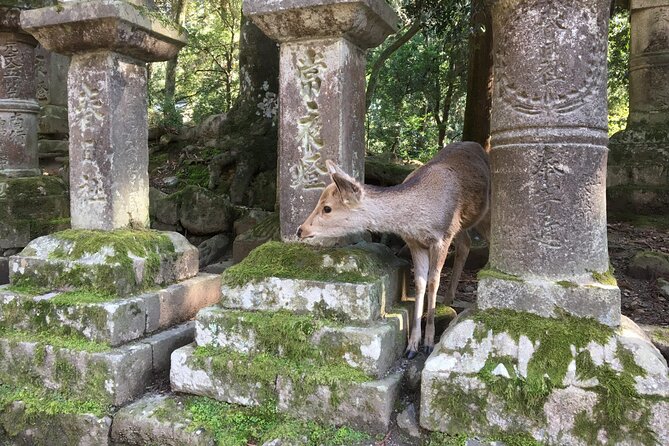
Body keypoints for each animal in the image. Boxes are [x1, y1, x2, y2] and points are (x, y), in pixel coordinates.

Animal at [298, 143, 490, 358]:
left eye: (327, 208)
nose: (300, 230)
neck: (418, 219)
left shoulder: (443, 235)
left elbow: (433, 282)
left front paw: (429, 343)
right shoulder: (415, 243)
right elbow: (420, 283)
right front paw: (412, 345)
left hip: (484, 214)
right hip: (462, 225)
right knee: (465, 243)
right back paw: (449, 299)